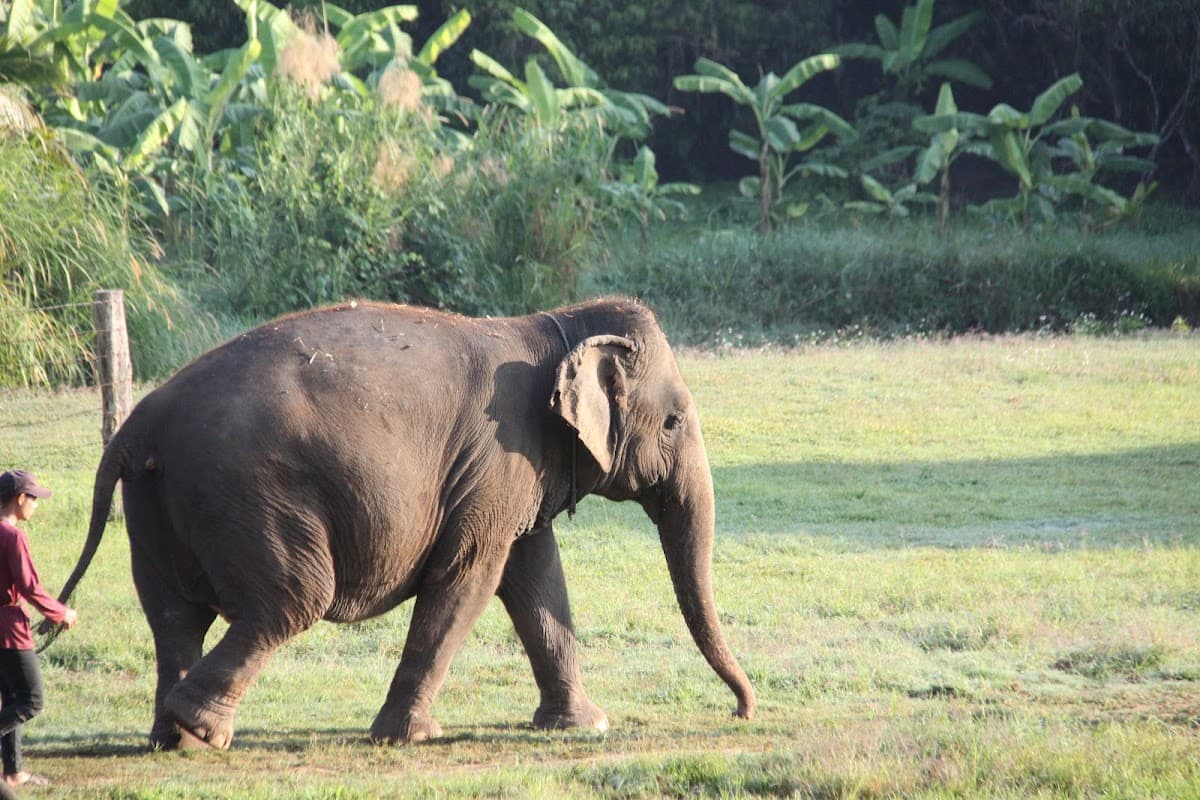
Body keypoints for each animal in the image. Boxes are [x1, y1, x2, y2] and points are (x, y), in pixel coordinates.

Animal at [52, 296, 755, 750]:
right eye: (674, 422)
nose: (744, 712)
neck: (552, 327)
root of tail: (138, 427)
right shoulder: (498, 461)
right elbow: (471, 577)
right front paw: (409, 738)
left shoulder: (512, 476)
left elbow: (535, 576)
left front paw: (582, 725)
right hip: (251, 493)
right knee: (292, 600)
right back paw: (202, 730)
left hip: (158, 502)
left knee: (174, 616)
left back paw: (173, 739)